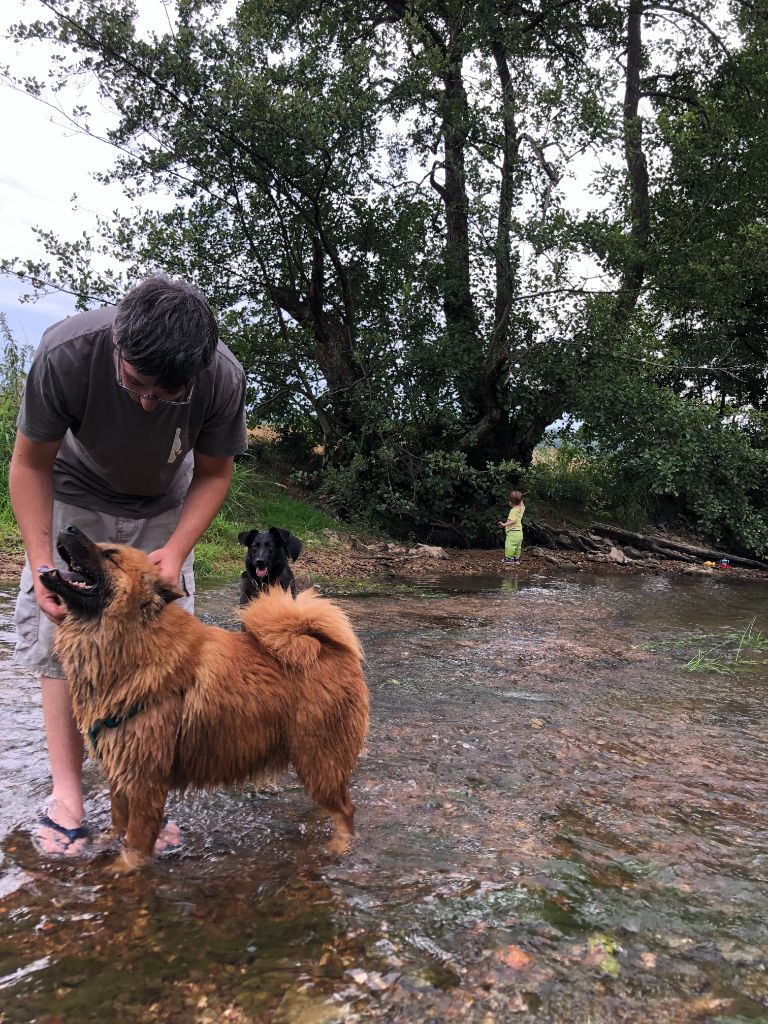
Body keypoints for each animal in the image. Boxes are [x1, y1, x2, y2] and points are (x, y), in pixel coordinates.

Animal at [39, 524, 368, 872]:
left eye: (110, 555)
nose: (69, 527)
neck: (133, 644)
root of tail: (332, 647)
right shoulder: (121, 769)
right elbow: (118, 822)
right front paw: (105, 843)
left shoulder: (145, 781)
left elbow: (136, 842)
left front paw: (121, 868)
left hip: (318, 758)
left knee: (345, 810)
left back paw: (339, 847)